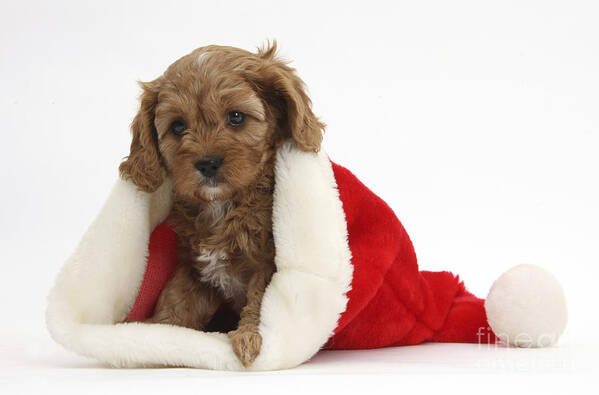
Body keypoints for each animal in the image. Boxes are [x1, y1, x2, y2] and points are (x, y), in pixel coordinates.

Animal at [117, 41, 324, 366]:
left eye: (236, 117)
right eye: (178, 126)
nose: (207, 163)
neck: (223, 204)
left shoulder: (267, 263)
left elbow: (260, 300)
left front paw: (249, 337)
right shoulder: (194, 269)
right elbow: (176, 301)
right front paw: (157, 334)